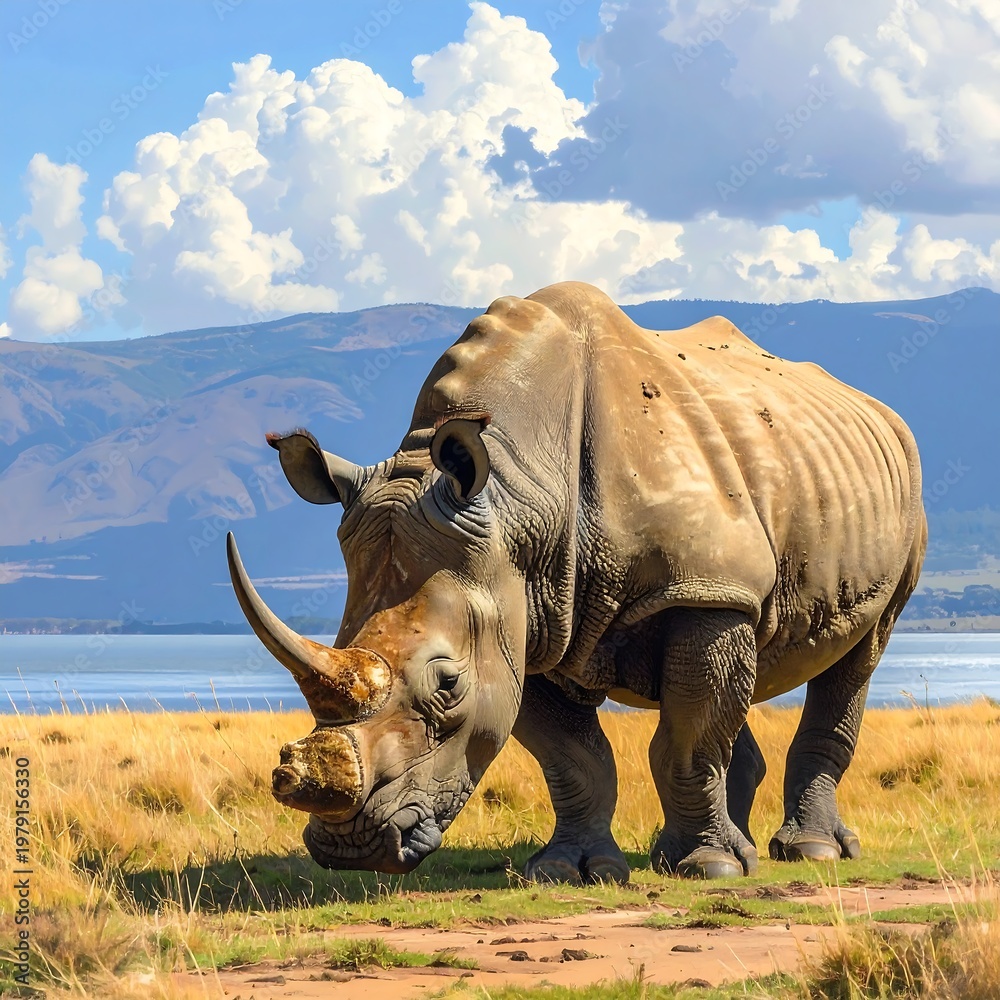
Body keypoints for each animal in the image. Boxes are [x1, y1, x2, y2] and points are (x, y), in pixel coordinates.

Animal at [228, 281, 926, 881]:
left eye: (447, 685)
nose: (351, 848)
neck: (516, 492)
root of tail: (871, 405)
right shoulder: (522, 614)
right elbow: (575, 756)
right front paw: (572, 870)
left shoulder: (698, 586)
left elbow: (688, 739)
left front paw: (710, 869)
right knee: (739, 669)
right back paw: (725, 847)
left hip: (895, 497)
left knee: (859, 653)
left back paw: (808, 853)